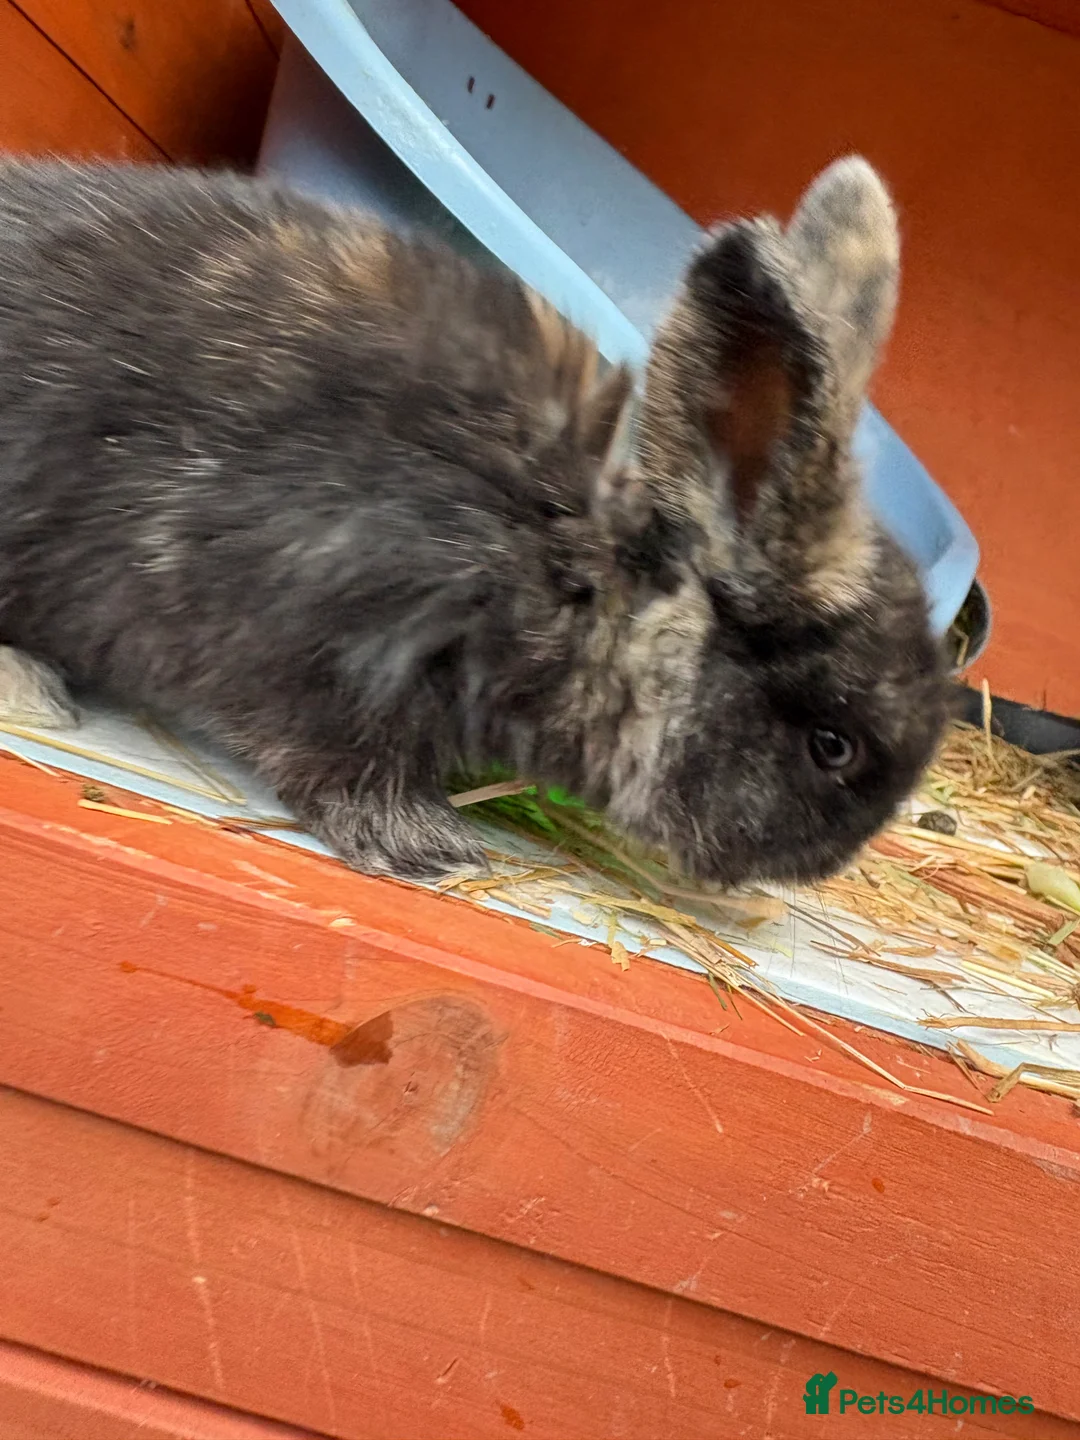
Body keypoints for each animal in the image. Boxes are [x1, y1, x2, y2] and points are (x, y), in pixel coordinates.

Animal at [0, 154, 946, 884]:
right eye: (833, 746)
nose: (818, 868)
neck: (579, 567)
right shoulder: (335, 640)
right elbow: (343, 756)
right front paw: (429, 846)